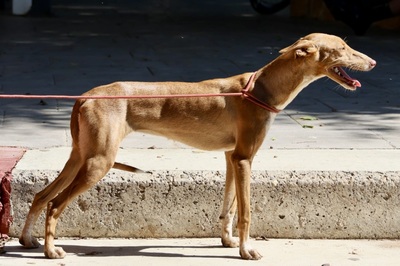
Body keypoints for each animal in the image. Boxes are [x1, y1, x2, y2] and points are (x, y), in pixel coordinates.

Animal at [18, 33, 376, 260]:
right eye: (343, 47)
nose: (373, 62)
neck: (259, 89)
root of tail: (85, 96)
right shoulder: (245, 158)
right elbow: (246, 212)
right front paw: (247, 251)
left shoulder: (232, 157)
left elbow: (229, 207)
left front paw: (228, 241)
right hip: (98, 162)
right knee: (55, 204)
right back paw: (51, 251)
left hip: (80, 157)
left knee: (41, 196)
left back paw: (28, 240)